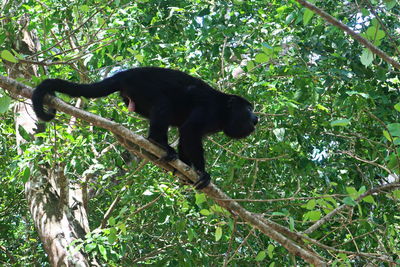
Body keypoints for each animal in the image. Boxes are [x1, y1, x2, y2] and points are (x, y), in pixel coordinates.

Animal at [32, 67, 260, 189]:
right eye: (248, 109)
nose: (256, 117)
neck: (223, 112)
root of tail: (124, 74)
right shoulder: (208, 109)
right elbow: (188, 131)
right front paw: (202, 173)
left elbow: (186, 138)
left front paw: (186, 171)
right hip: (142, 87)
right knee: (163, 104)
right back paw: (157, 143)